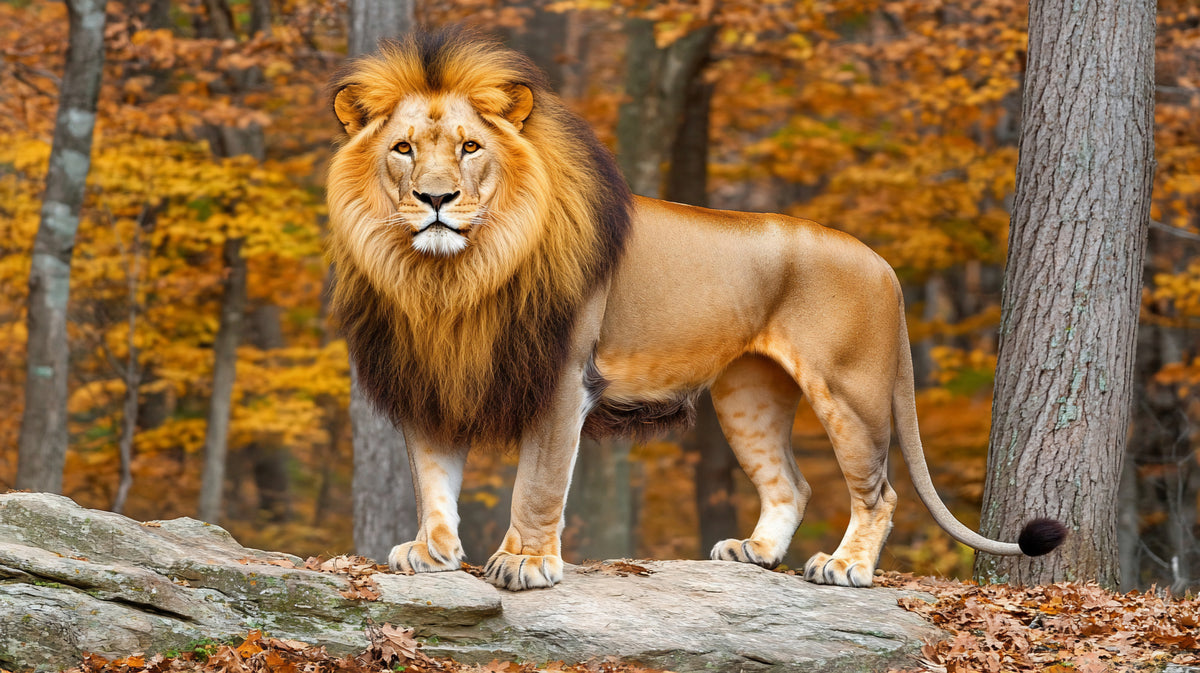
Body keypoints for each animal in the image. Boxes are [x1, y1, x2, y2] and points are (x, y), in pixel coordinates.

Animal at [326, 29, 1066, 591]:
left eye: (471, 147)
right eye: (403, 149)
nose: (436, 199)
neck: (449, 278)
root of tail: (883, 264)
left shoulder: (563, 378)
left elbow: (537, 482)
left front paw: (525, 562)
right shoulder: (430, 372)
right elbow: (432, 478)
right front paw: (431, 552)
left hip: (850, 391)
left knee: (878, 492)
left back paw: (845, 567)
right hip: (748, 395)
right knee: (791, 483)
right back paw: (754, 553)